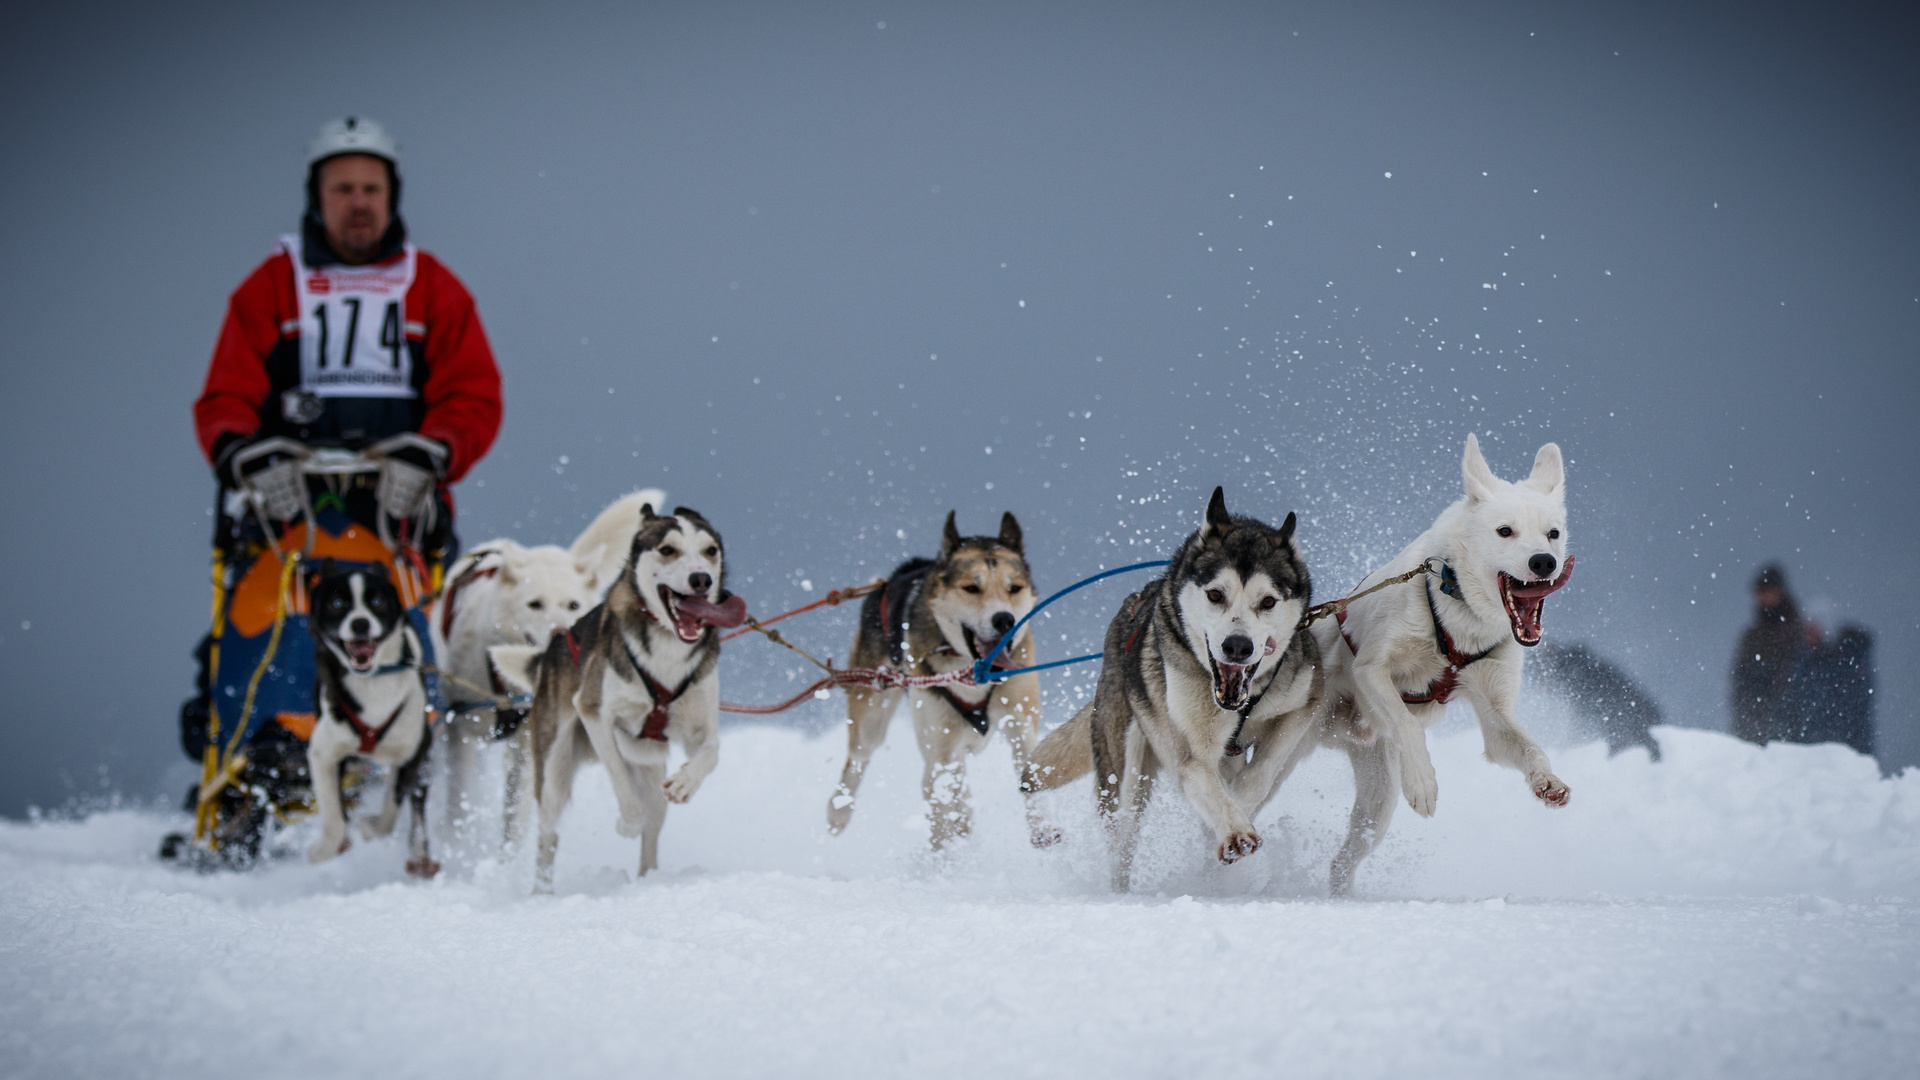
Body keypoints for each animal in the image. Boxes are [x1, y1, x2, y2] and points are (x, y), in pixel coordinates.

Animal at [305, 557, 437, 868]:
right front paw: (326, 848)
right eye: (337, 603)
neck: (373, 682)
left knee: (414, 802)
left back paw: (419, 852)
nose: (361, 623)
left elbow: (392, 808)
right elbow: (333, 811)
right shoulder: (323, 753)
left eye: (377, 601)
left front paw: (373, 828)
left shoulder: (414, 749)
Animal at [435, 486, 668, 849]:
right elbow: (458, 804)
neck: (503, 688)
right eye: (534, 604)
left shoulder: (528, 744)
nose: (561, 631)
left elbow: (514, 819)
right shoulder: (458, 733)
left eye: (572, 604)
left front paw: (505, 858)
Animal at [487, 503, 741, 883]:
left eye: (710, 550)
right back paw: (541, 889)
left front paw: (685, 782)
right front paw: (627, 824)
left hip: (648, 772)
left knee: (654, 817)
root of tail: (548, 654)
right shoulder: (594, 713)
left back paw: (647, 879)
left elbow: (712, 752)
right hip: (553, 773)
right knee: (548, 836)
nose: (701, 579)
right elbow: (621, 784)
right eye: (668, 549)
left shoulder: (699, 727)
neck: (666, 652)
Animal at [1029, 491, 1328, 887]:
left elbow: (1260, 773)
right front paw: (1235, 830)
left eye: (1268, 602)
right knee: (1121, 840)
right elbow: (1206, 782)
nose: (1237, 646)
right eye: (1215, 594)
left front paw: (1240, 805)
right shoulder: (1189, 750)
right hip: (1125, 773)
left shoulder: (1302, 702)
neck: (1240, 703)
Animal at [1305, 428, 1574, 891]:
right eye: (1505, 531)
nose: (1545, 562)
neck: (1459, 617)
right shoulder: (1372, 668)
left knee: (1343, 861)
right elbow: (1408, 724)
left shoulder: (1494, 711)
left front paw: (1547, 782)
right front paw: (1424, 783)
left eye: (1553, 533)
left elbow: (1529, 749)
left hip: (1377, 803)